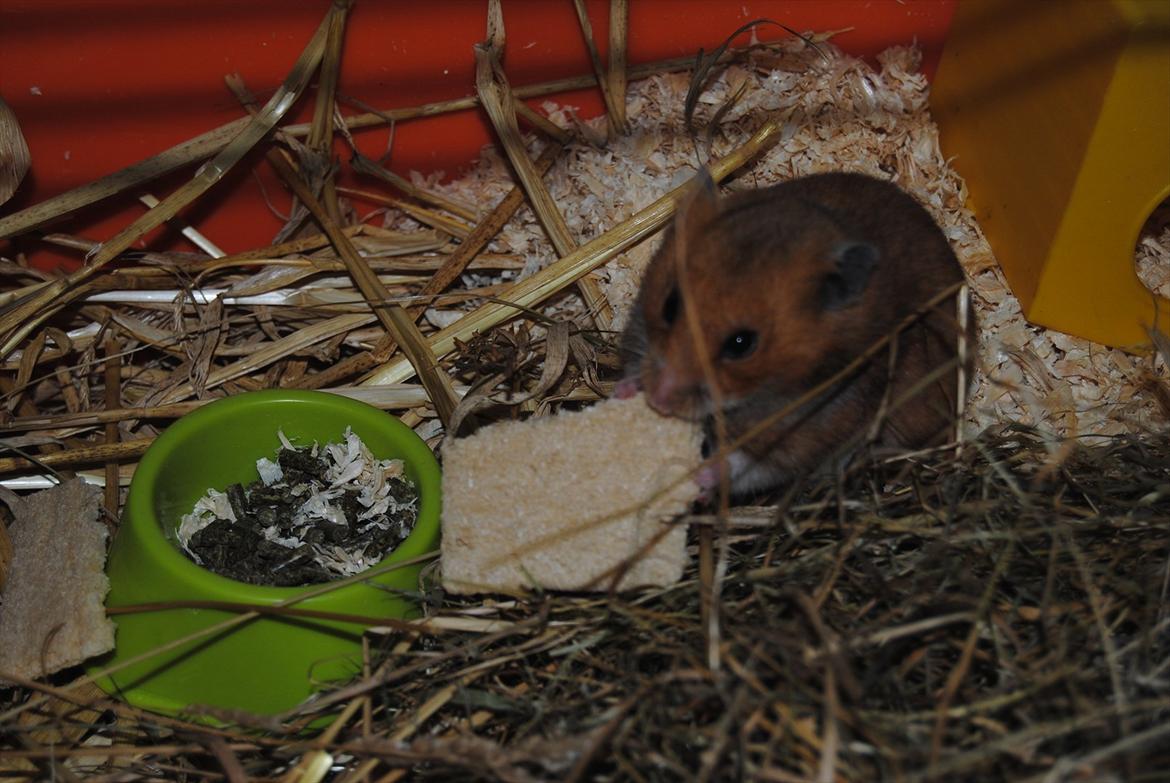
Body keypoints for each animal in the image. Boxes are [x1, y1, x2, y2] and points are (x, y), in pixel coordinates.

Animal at [618, 171, 974, 498]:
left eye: (741, 344)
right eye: (670, 305)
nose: (658, 401)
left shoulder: (811, 429)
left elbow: (748, 464)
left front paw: (700, 476)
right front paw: (625, 391)